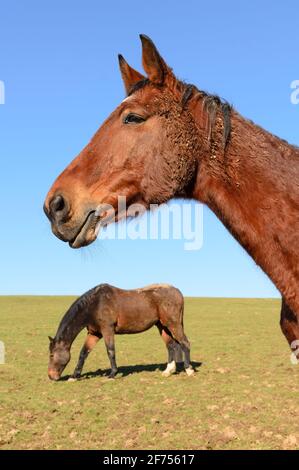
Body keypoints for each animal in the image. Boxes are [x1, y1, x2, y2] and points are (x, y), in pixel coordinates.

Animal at [47, 282, 193, 382]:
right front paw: (74, 376)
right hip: (162, 326)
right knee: (171, 346)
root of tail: (177, 291)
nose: (51, 376)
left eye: (52, 355)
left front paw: (112, 374)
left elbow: (110, 351)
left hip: (173, 324)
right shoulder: (94, 334)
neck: (95, 304)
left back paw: (189, 369)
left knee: (185, 343)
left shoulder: (107, 330)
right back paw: (168, 371)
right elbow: (83, 353)